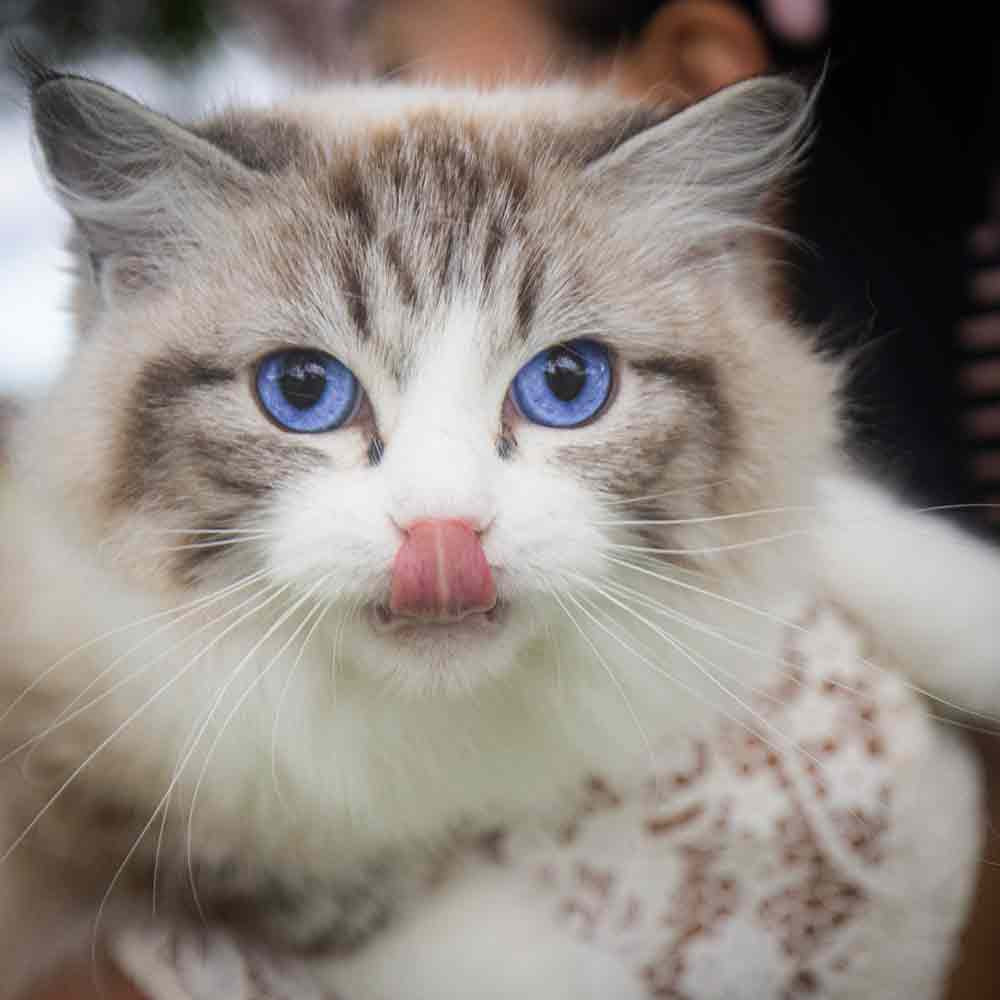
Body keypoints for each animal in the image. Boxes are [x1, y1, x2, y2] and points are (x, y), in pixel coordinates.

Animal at [1, 60, 1000, 992]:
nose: (443, 538)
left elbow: (837, 520)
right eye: (303, 391)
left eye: (567, 384)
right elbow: (392, 917)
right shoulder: (135, 790)